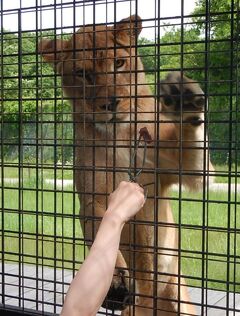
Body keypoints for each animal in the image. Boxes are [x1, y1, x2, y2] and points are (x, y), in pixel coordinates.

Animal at [39, 15, 214, 316]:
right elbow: (99, 227)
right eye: (83, 73)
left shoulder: (186, 171)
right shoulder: (92, 198)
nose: (110, 103)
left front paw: (183, 98)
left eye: (119, 63)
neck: (119, 134)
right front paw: (116, 281)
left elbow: (195, 160)